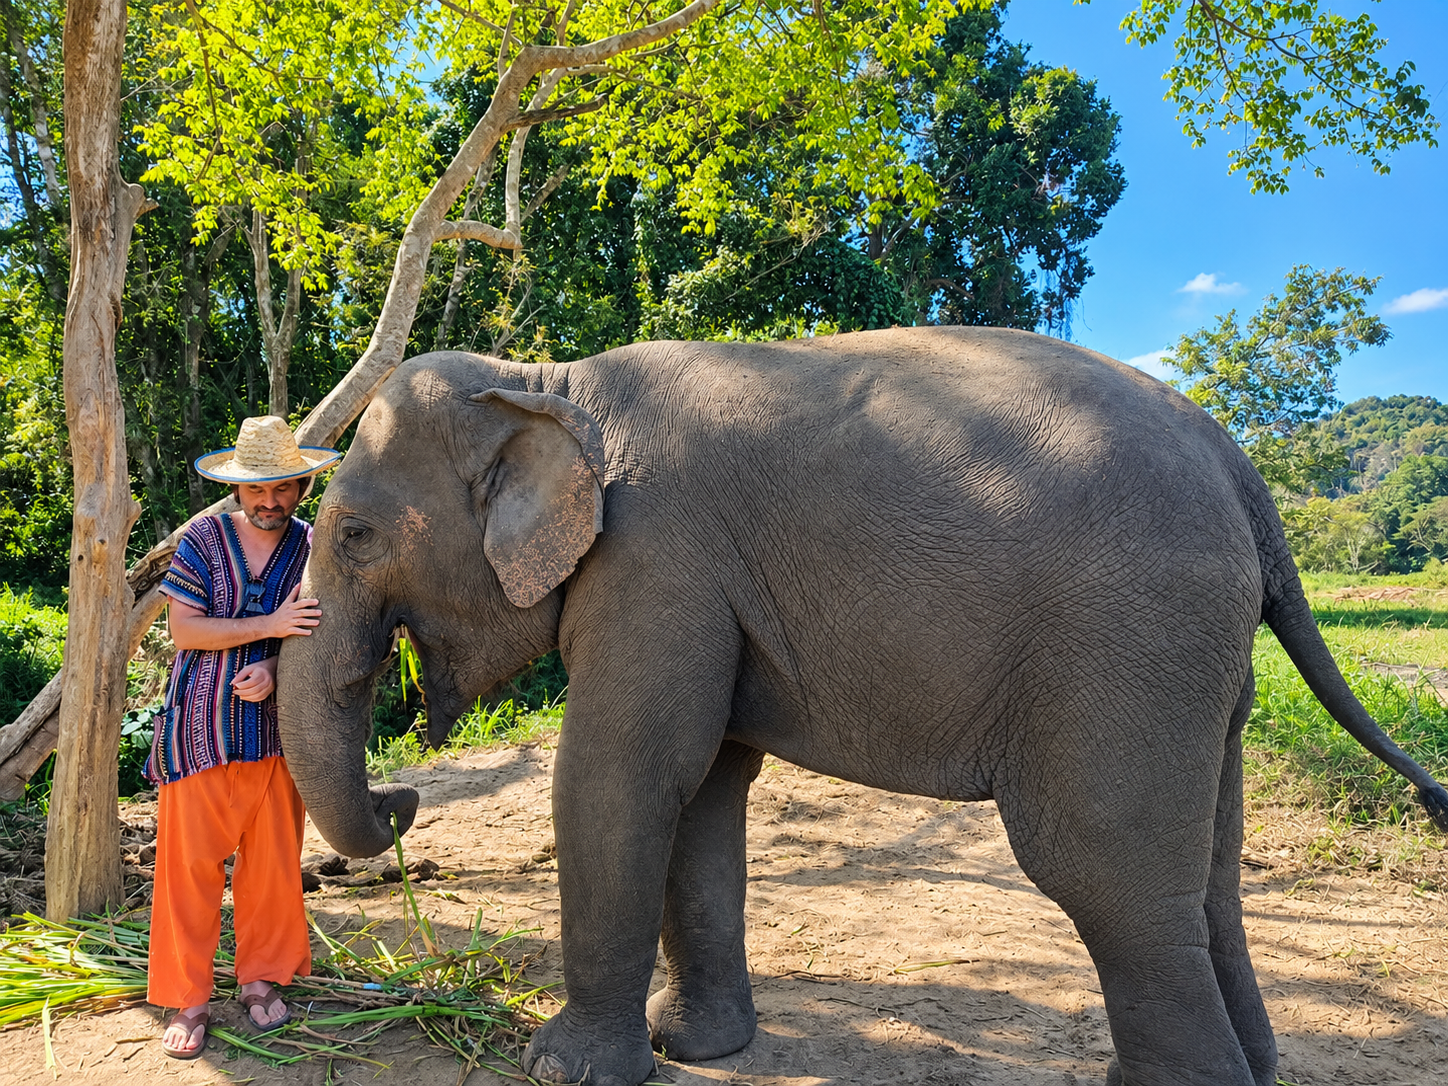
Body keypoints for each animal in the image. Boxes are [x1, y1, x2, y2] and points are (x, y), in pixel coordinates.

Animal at [276, 326, 1448, 1086]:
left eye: (355, 537)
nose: (403, 800)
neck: (546, 381)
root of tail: (1239, 469)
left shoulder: (657, 560)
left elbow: (625, 773)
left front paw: (565, 1069)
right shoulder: (700, 583)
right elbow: (706, 790)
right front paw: (694, 1050)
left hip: (1131, 642)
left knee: (1104, 869)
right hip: (1204, 664)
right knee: (1207, 875)